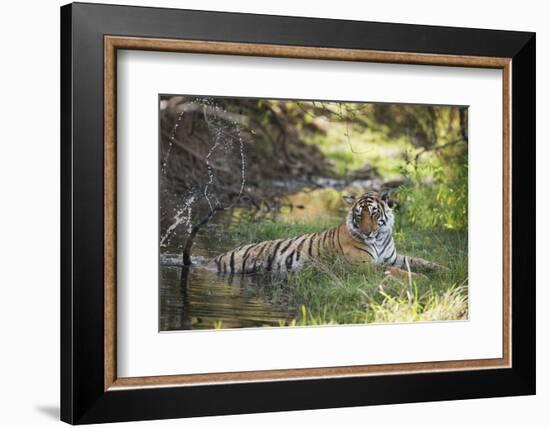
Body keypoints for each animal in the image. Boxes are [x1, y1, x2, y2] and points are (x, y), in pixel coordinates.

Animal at [207, 189, 444, 276]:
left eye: (374, 213)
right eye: (359, 215)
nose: (367, 232)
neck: (379, 238)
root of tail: (215, 258)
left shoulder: (393, 257)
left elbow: (417, 261)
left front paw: (443, 269)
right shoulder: (362, 265)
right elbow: (398, 271)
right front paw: (421, 279)